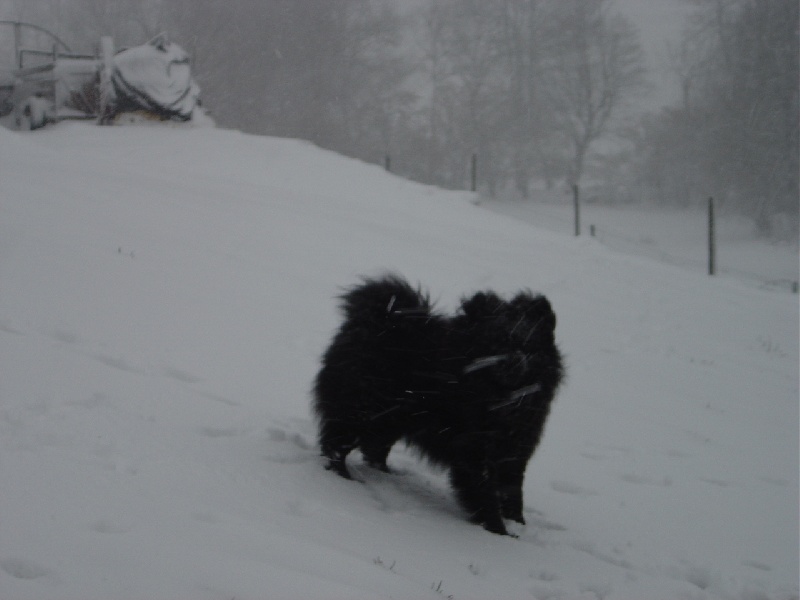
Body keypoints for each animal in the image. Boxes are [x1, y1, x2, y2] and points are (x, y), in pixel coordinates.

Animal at [312, 276, 564, 536]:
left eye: (528, 346)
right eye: (496, 345)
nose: (513, 363)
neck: (504, 402)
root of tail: (372, 319)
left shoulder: (514, 451)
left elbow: (512, 492)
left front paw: (518, 524)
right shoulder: (474, 451)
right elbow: (484, 493)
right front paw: (498, 531)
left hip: (389, 419)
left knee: (373, 449)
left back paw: (385, 473)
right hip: (362, 410)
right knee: (336, 444)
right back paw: (344, 477)